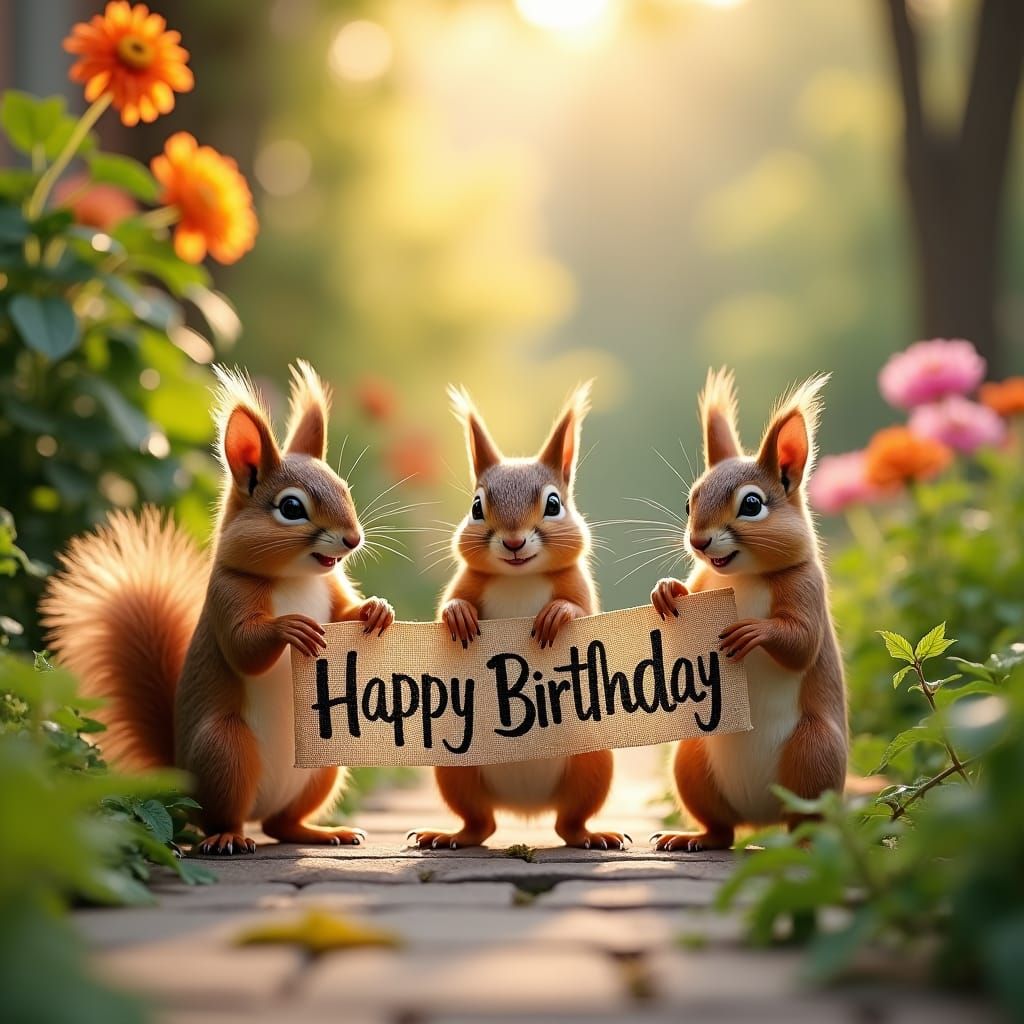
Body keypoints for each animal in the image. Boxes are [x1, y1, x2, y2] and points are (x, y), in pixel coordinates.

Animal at [42, 361, 395, 855]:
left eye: (344, 489)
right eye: (291, 507)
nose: (352, 538)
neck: (295, 579)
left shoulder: (332, 588)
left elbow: (346, 612)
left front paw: (376, 610)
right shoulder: (227, 594)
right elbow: (244, 648)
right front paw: (290, 628)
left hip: (326, 760)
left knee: (282, 825)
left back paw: (322, 831)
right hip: (225, 749)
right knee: (224, 817)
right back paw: (228, 837)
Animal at [408, 383, 628, 851]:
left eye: (553, 504)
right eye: (476, 507)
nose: (512, 542)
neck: (518, 578)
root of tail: (526, 806)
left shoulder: (579, 586)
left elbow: (582, 612)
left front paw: (557, 615)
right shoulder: (466, 581)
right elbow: (446, 609)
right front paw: (457, 615)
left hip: (592, 761)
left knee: (568, 823)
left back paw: (592, 835)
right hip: (455, 768)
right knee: (481, 824)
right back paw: (449, 835)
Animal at [648, 368, 847, 852]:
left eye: (752, 504)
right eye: (689, 502)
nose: (698, 541)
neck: (744, 579)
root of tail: (762, 819)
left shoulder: (806, 588)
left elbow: (801, 642)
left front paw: (754, 632)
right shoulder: (705, 582)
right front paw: (666, 591)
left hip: (814, 753)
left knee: (806, 820)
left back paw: (806, 843)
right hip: (692, 759)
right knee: (721, 830)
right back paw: (693, 837)